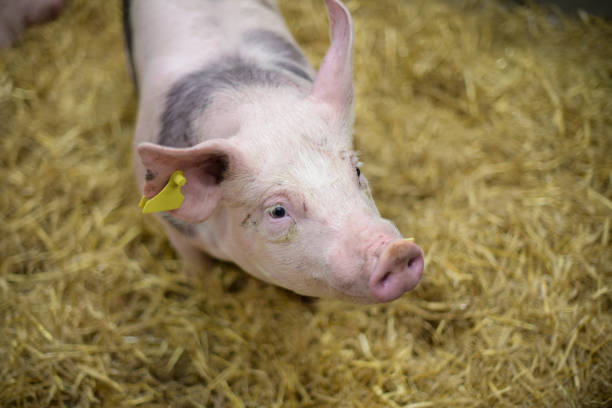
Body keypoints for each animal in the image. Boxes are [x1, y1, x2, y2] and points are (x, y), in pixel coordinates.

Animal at [122, 0, 424, 302]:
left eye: (357, 170)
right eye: (277, 211)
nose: (397, 252)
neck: (254, 102)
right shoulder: (173, 227)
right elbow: (198, 267)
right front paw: (206, 291)